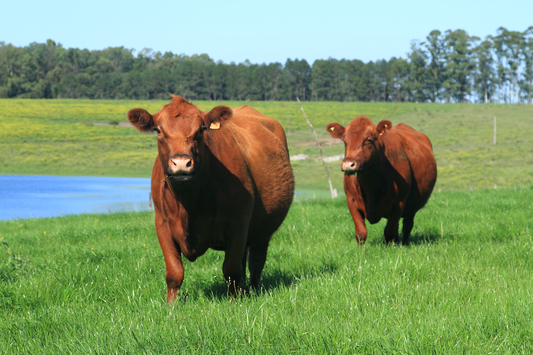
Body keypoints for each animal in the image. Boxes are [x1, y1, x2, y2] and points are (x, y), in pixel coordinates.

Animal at [128, 94, 296, 300]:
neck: (188, 205)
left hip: (264, 228)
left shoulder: (238, 222)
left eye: (201, 129)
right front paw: (171, 305)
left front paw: (234, 302)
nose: (181, 163)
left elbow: (231, 270)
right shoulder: (162, 223)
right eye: (159, 130)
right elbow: (174, 272)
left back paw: (253, 290)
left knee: (256, 261)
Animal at [324, 118, 436, 246]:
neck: (370, 185)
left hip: (412, 206)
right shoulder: (351, 200)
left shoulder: (399, 202)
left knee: (407, 225)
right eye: (344, 141)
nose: (348, 165)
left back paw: (404, 243)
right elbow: (361, 232)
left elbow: (389, 232)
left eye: (369, 140)